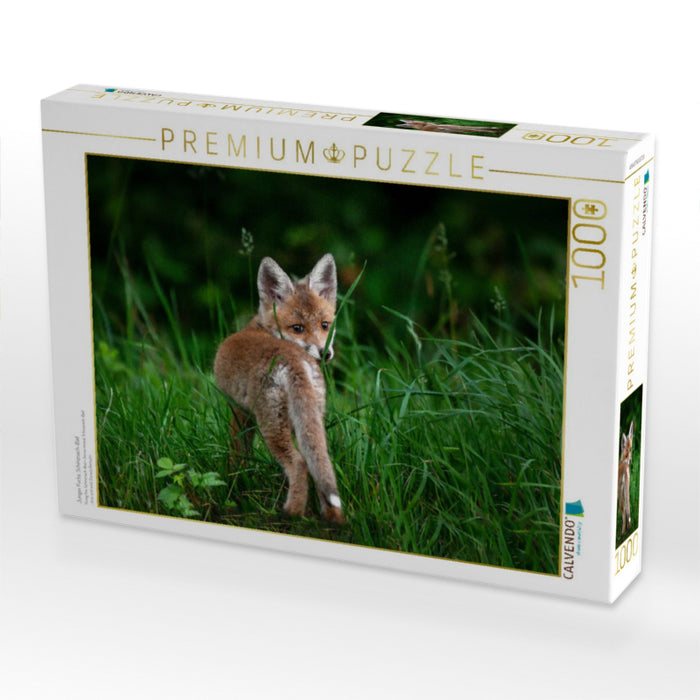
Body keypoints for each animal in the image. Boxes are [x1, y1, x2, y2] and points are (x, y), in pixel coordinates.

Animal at [214, 253, 344, 523]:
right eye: (297, 328)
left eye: (325, 325)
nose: (324, 353)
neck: (262, 327)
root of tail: (295, 361)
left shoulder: (239, 410)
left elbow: (237, 454)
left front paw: (233, 485)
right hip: (309, 421)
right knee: (319, 464)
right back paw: (333, 519)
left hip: (271, 426)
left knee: (299, 464)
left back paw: (291, 514)